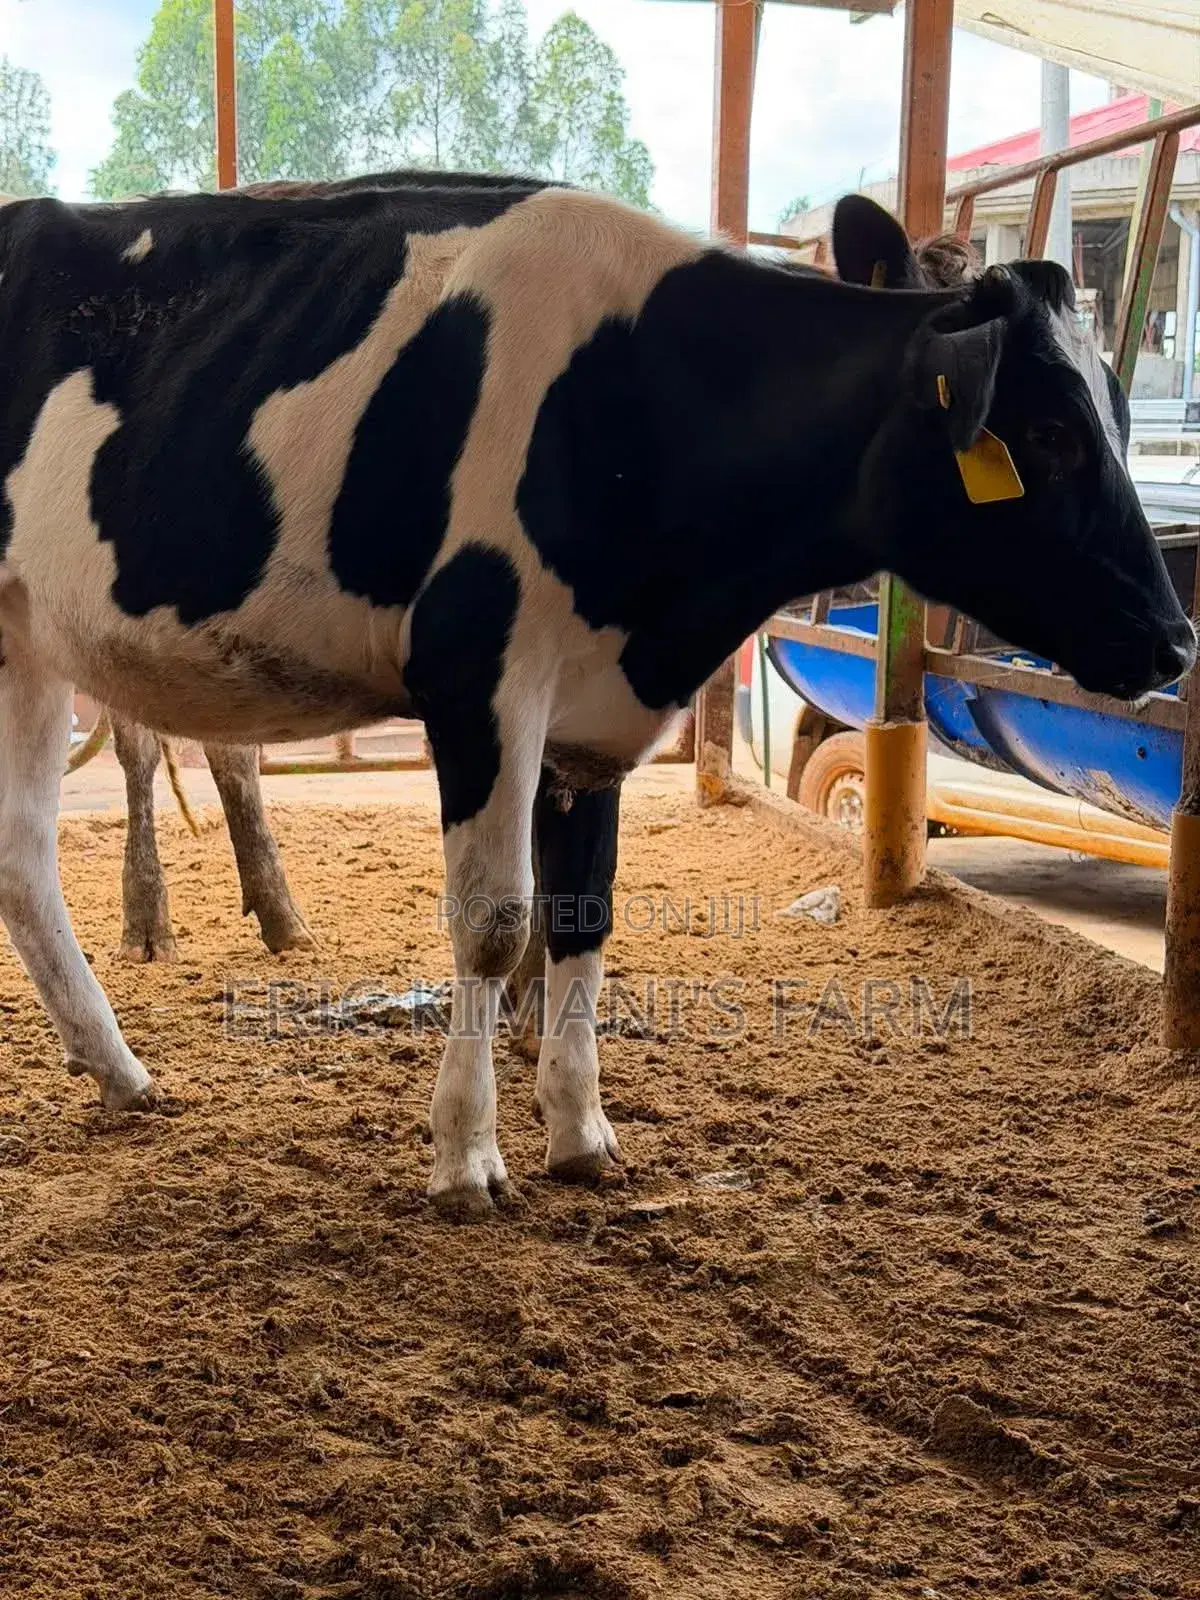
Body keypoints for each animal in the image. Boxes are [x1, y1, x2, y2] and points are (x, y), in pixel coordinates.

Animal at [0, 176, 1192, 1219]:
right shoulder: (478, 671)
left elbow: (585, 911)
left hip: (26, 644)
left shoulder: (596, 717)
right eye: (1049, 434)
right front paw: (466, 1159)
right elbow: (494, 921)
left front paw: (580, 1136)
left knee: (23, 859)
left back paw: (121, 1072)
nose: (1174, 641)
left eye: (1123, 421)